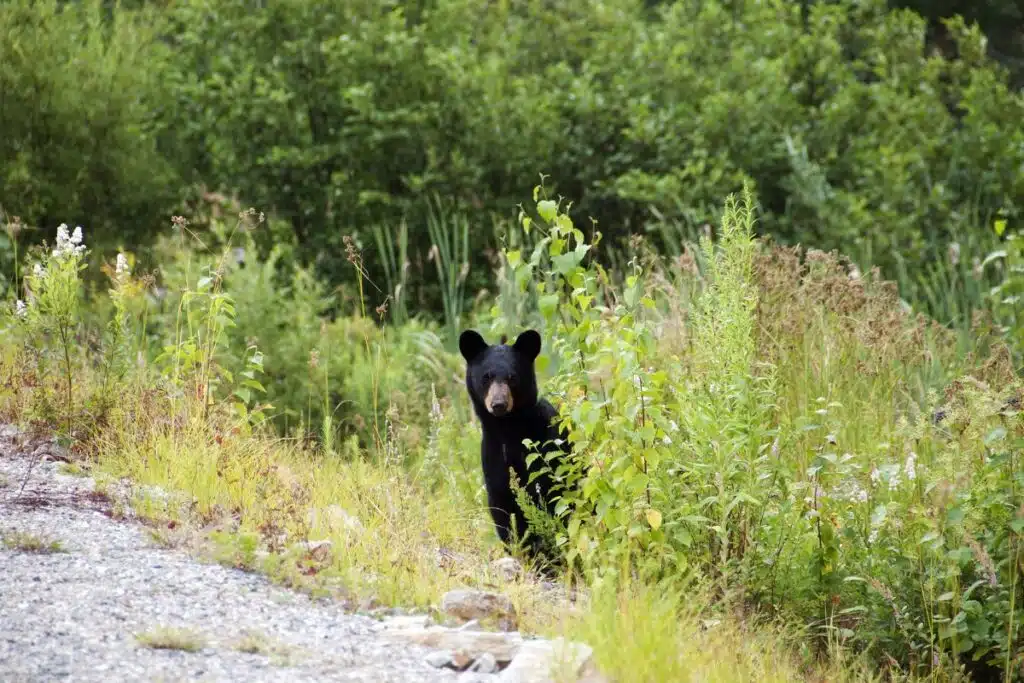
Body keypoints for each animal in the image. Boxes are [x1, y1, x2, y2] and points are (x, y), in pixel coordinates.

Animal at [458, 327, 569, 557]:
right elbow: (502, 508)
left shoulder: (547, 447)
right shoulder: (493, 456)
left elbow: (552, 496)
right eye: (486, 377)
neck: (508, 429)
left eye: (512, 377)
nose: (498, 404)